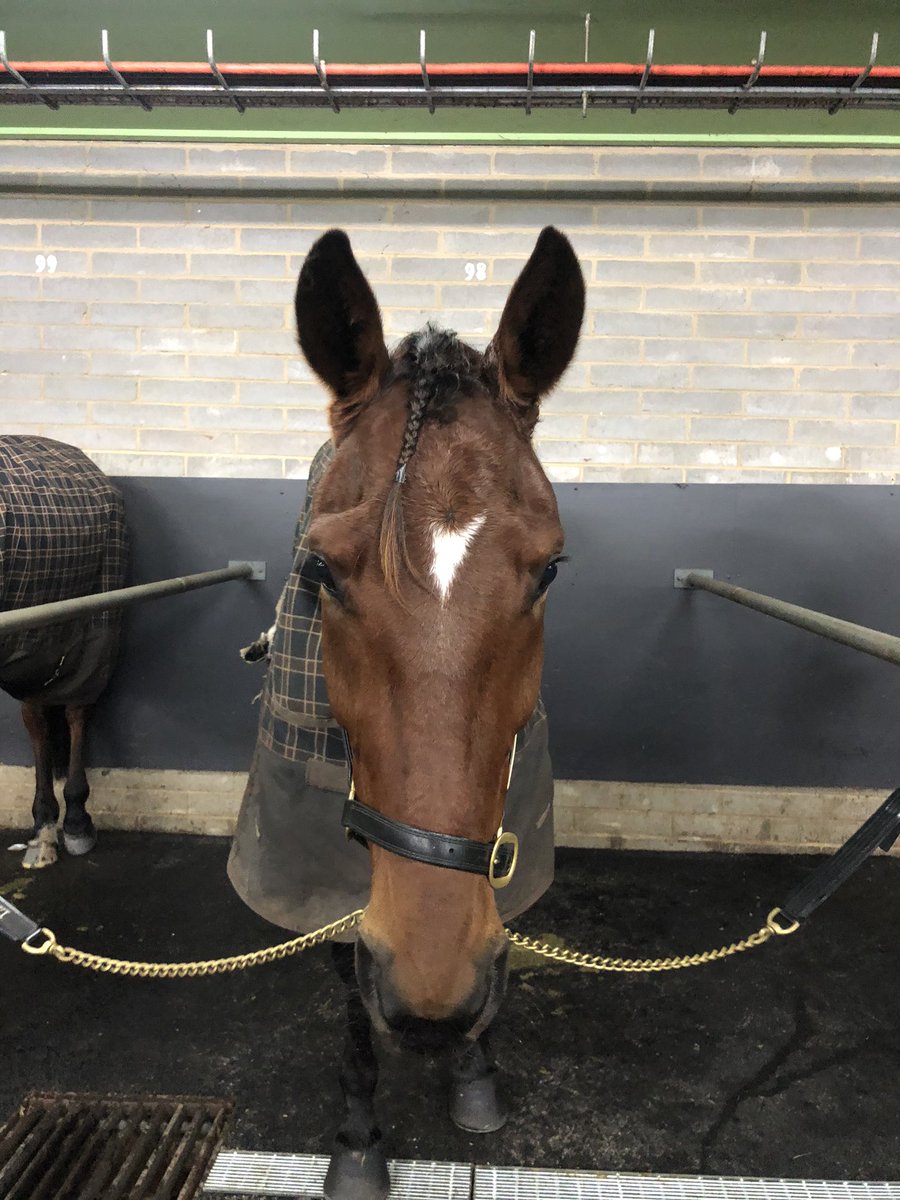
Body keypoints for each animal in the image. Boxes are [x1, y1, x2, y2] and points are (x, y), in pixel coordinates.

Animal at [296, 226, 588, 1200]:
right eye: (321, 571)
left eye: (550, 571)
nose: (429, 996)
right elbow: (345, 973)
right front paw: (357, 1137)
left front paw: (473, 1072)